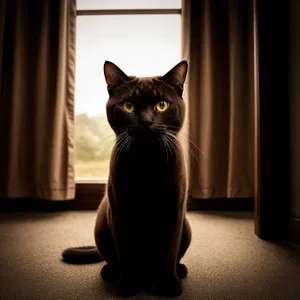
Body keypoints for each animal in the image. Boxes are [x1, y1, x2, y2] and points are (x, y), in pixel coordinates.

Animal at [62, 61, 192, 298]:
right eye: (129, 106)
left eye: (161, 105)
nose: (146, 122)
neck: (147, 163)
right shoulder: (120, 210)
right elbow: (127, 253)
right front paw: (128, 287)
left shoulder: (174, 211)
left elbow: (169, 252)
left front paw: (169, 286)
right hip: (101, 225)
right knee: (113, 259)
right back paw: (111, 273)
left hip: (186, 226)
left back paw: (179, 271)